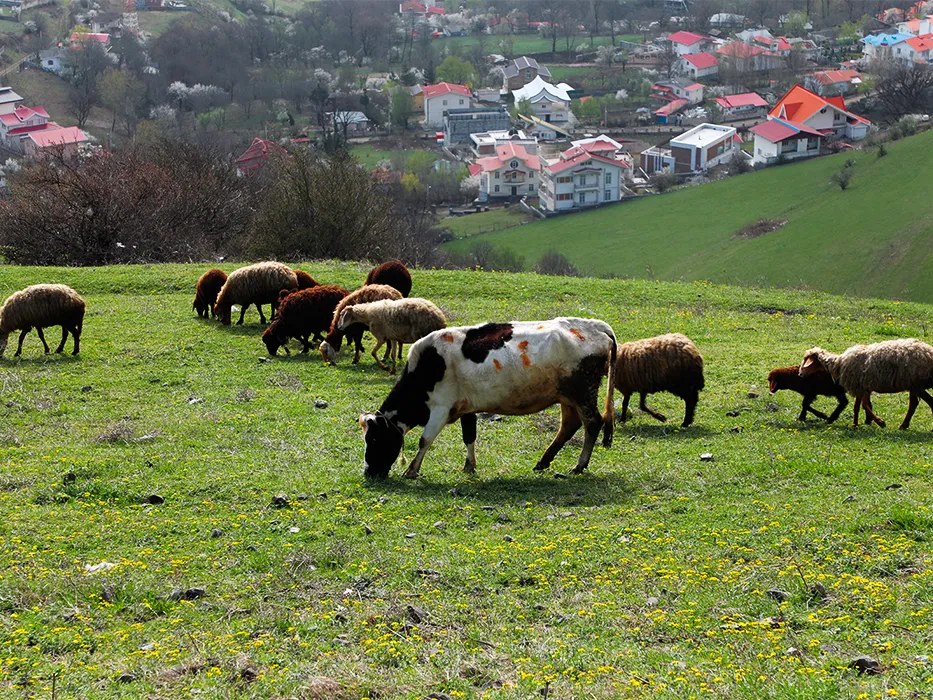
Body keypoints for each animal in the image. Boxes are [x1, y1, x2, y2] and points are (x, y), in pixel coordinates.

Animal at [360, 318, 616, 478]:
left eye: (374, 439)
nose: (368, 472)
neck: (428, 366)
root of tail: (596, 325)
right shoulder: (466, 407)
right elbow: (469, 436)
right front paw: (469, 466)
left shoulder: (441, 408)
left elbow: (425, 440)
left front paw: (412, 470)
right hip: (566, 396)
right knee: (570, 425)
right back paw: (543, 461)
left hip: (583, 394)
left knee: (593, 423)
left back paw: (579, 465)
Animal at [796, 338, 933, 430]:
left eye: (806, 360)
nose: (800, 374)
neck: (839, 363)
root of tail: (929, 352)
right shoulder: (862, 386)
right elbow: (858, 407)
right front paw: (855, 424)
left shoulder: (862, 386)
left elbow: (863, 405)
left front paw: (880, 422)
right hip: (916, 385)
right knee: (927, 402)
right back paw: (909, 426)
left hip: (915, 383)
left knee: (914, 404)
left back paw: (904, 425)